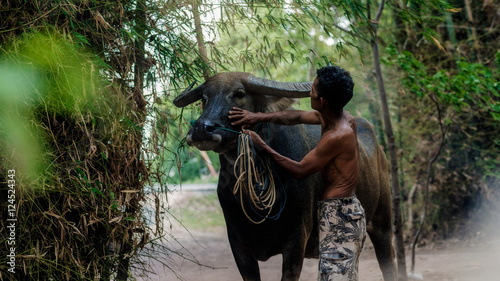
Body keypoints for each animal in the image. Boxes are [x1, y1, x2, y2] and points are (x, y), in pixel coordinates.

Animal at [174, 72, 396, 280]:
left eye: (239, 93)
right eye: (204, 97)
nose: (201, 129)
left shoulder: (295, 241)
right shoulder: (238, 244)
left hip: (382, 223)